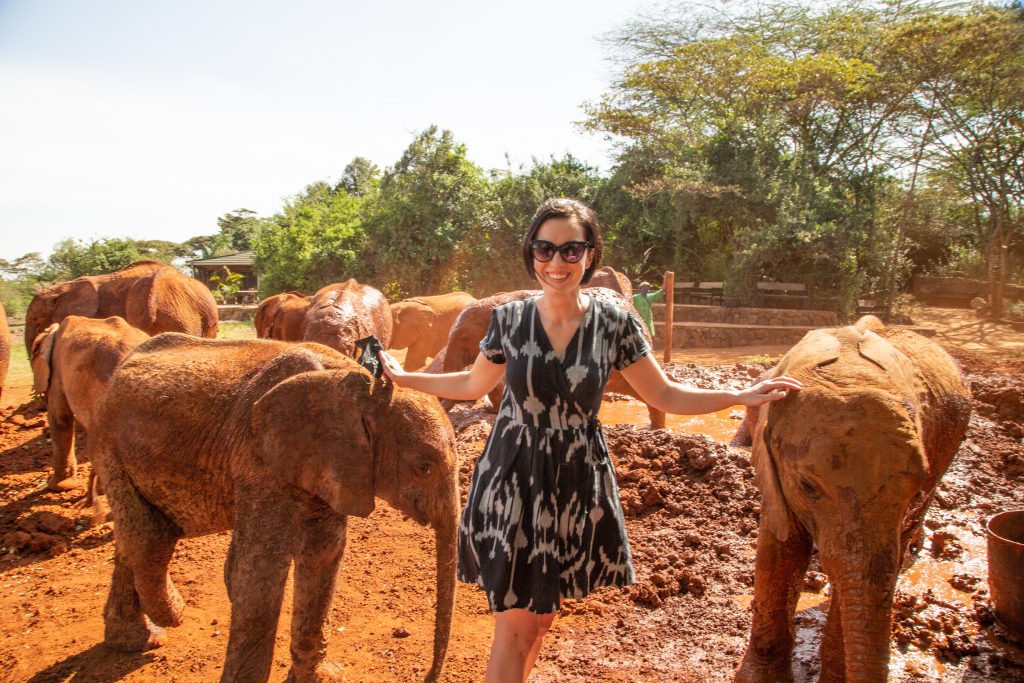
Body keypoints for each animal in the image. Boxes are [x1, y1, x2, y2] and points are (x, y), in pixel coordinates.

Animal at [92, 335, 460, 683]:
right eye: (424, 467)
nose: (428, 676)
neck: (360, 383)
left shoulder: (330, 465)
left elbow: (324, 555)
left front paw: (324, 677)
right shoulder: (259, 457)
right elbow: (259, 571)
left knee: (136, 540)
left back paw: (140, 641)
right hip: (109, 446)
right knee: (147, 536)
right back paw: (163, 622)